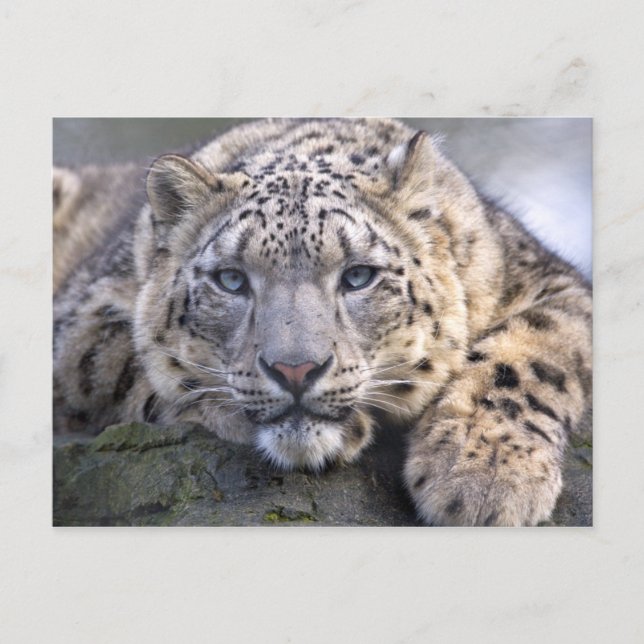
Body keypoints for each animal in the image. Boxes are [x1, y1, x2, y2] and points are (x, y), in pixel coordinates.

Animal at [53, 118, 592, 526]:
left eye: (358, 276)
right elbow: (144, 369)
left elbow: (528, 357)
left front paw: (484, 477)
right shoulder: (84, 318)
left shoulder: (553, 283)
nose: (295, 370)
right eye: (231, 280)